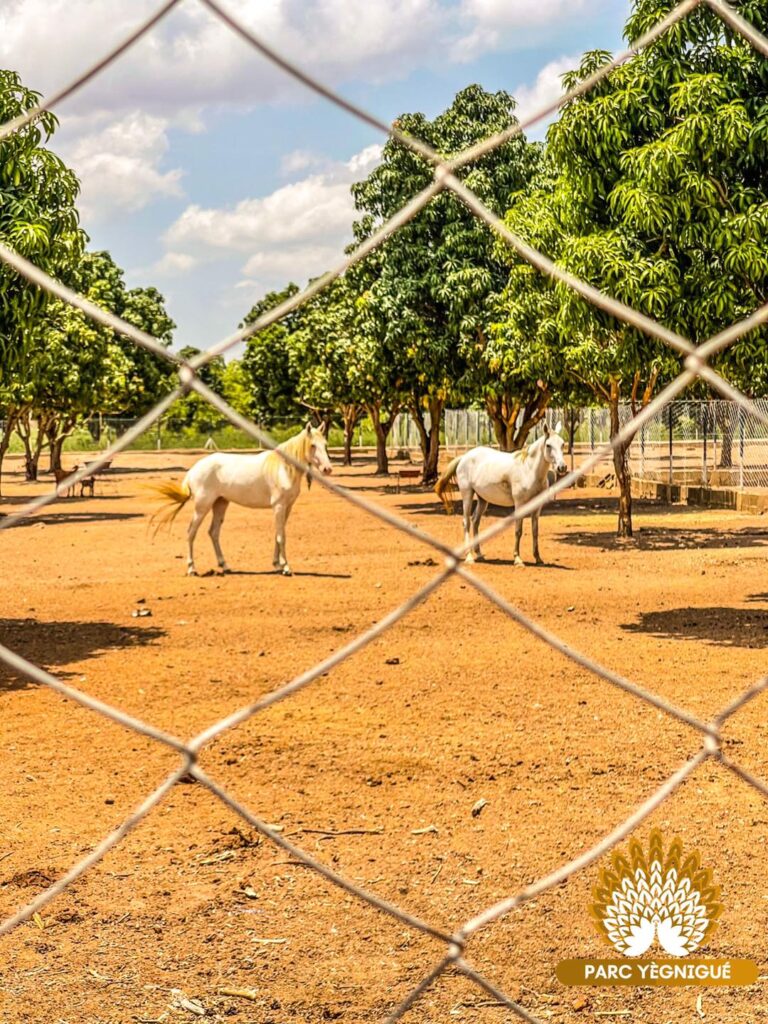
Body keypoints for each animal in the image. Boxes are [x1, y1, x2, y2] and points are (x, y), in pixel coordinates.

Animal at [151, 421, 331, 577]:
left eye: (325, 444)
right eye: (313, 445)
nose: (327, 469)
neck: (283, 468)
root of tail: (193, 470)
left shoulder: (287, 507)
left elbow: (278, 534)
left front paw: (277, 565)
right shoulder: (279, 506)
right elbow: (281, 536)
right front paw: (286, 568)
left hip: (220, 504)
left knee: (213, 532)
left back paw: (225, 565)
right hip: (202, 507)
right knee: (191, 533)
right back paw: (192, 569)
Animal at [436, 421, 569, 569]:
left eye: (562, 444)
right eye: (548, 445)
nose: (562, 467)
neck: (528, 469)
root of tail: (464, 457)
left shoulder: (537, 507)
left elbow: (535, 531)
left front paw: (538, 558)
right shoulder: (519, 504)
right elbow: (518, 530)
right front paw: (518, 559)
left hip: (483, 500)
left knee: (475, 521)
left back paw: (479, 554)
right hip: (467, 495)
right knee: (466, 523)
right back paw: (469, 557)